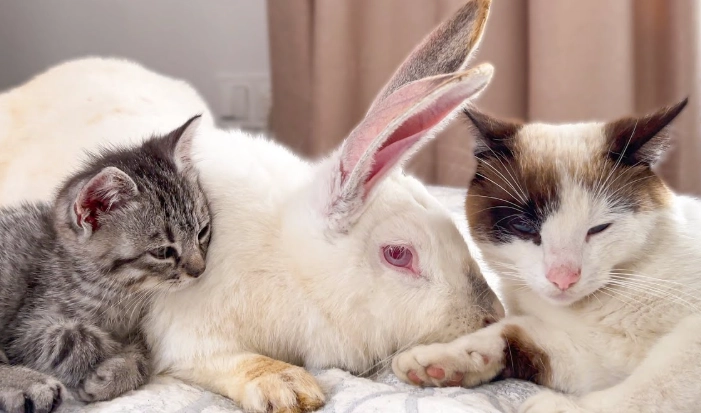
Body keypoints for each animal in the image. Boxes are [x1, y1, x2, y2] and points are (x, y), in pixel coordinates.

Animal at [0, 1, 503, 412]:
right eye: (398, 254)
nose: (491, 315)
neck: (293, 265)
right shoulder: (185, 334)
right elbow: (227, 360)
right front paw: (288, 386)